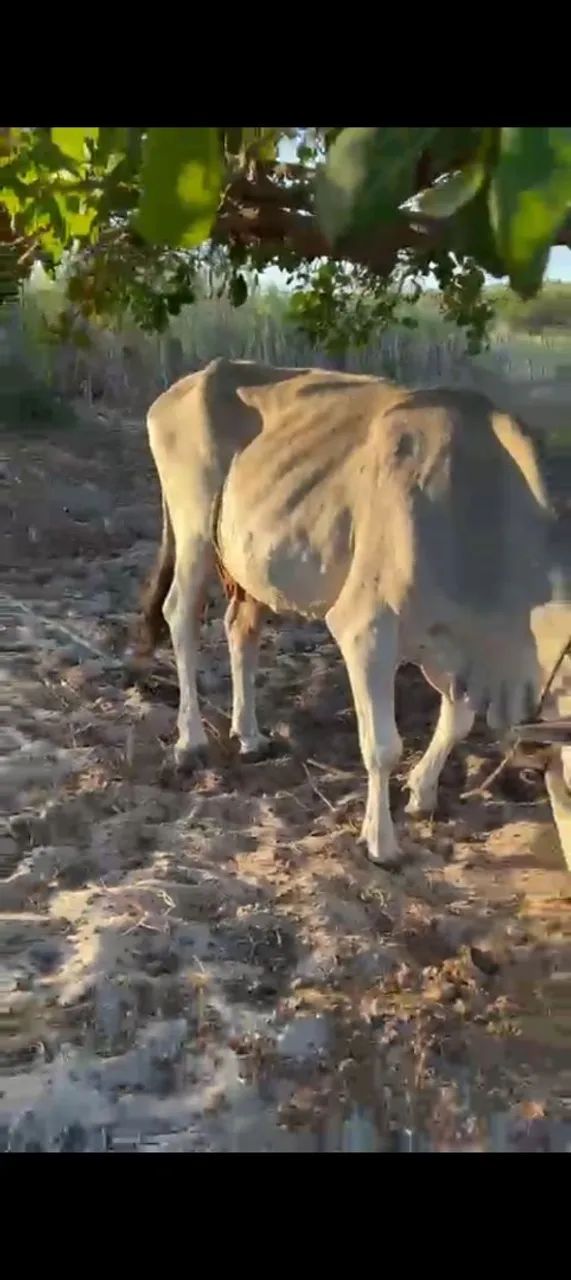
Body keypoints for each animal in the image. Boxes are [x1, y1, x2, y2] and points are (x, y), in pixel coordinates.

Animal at [139, 357, 571, 867]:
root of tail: (195, 378)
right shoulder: (367, 628)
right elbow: (383, 746)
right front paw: (381, 843)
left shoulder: (449, 642)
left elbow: (458, 719)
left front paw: (423, 793)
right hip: (193, 532)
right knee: (180, 617)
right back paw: (191, 742)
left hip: (251, 561)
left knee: (238, 627)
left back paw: (249, 736)